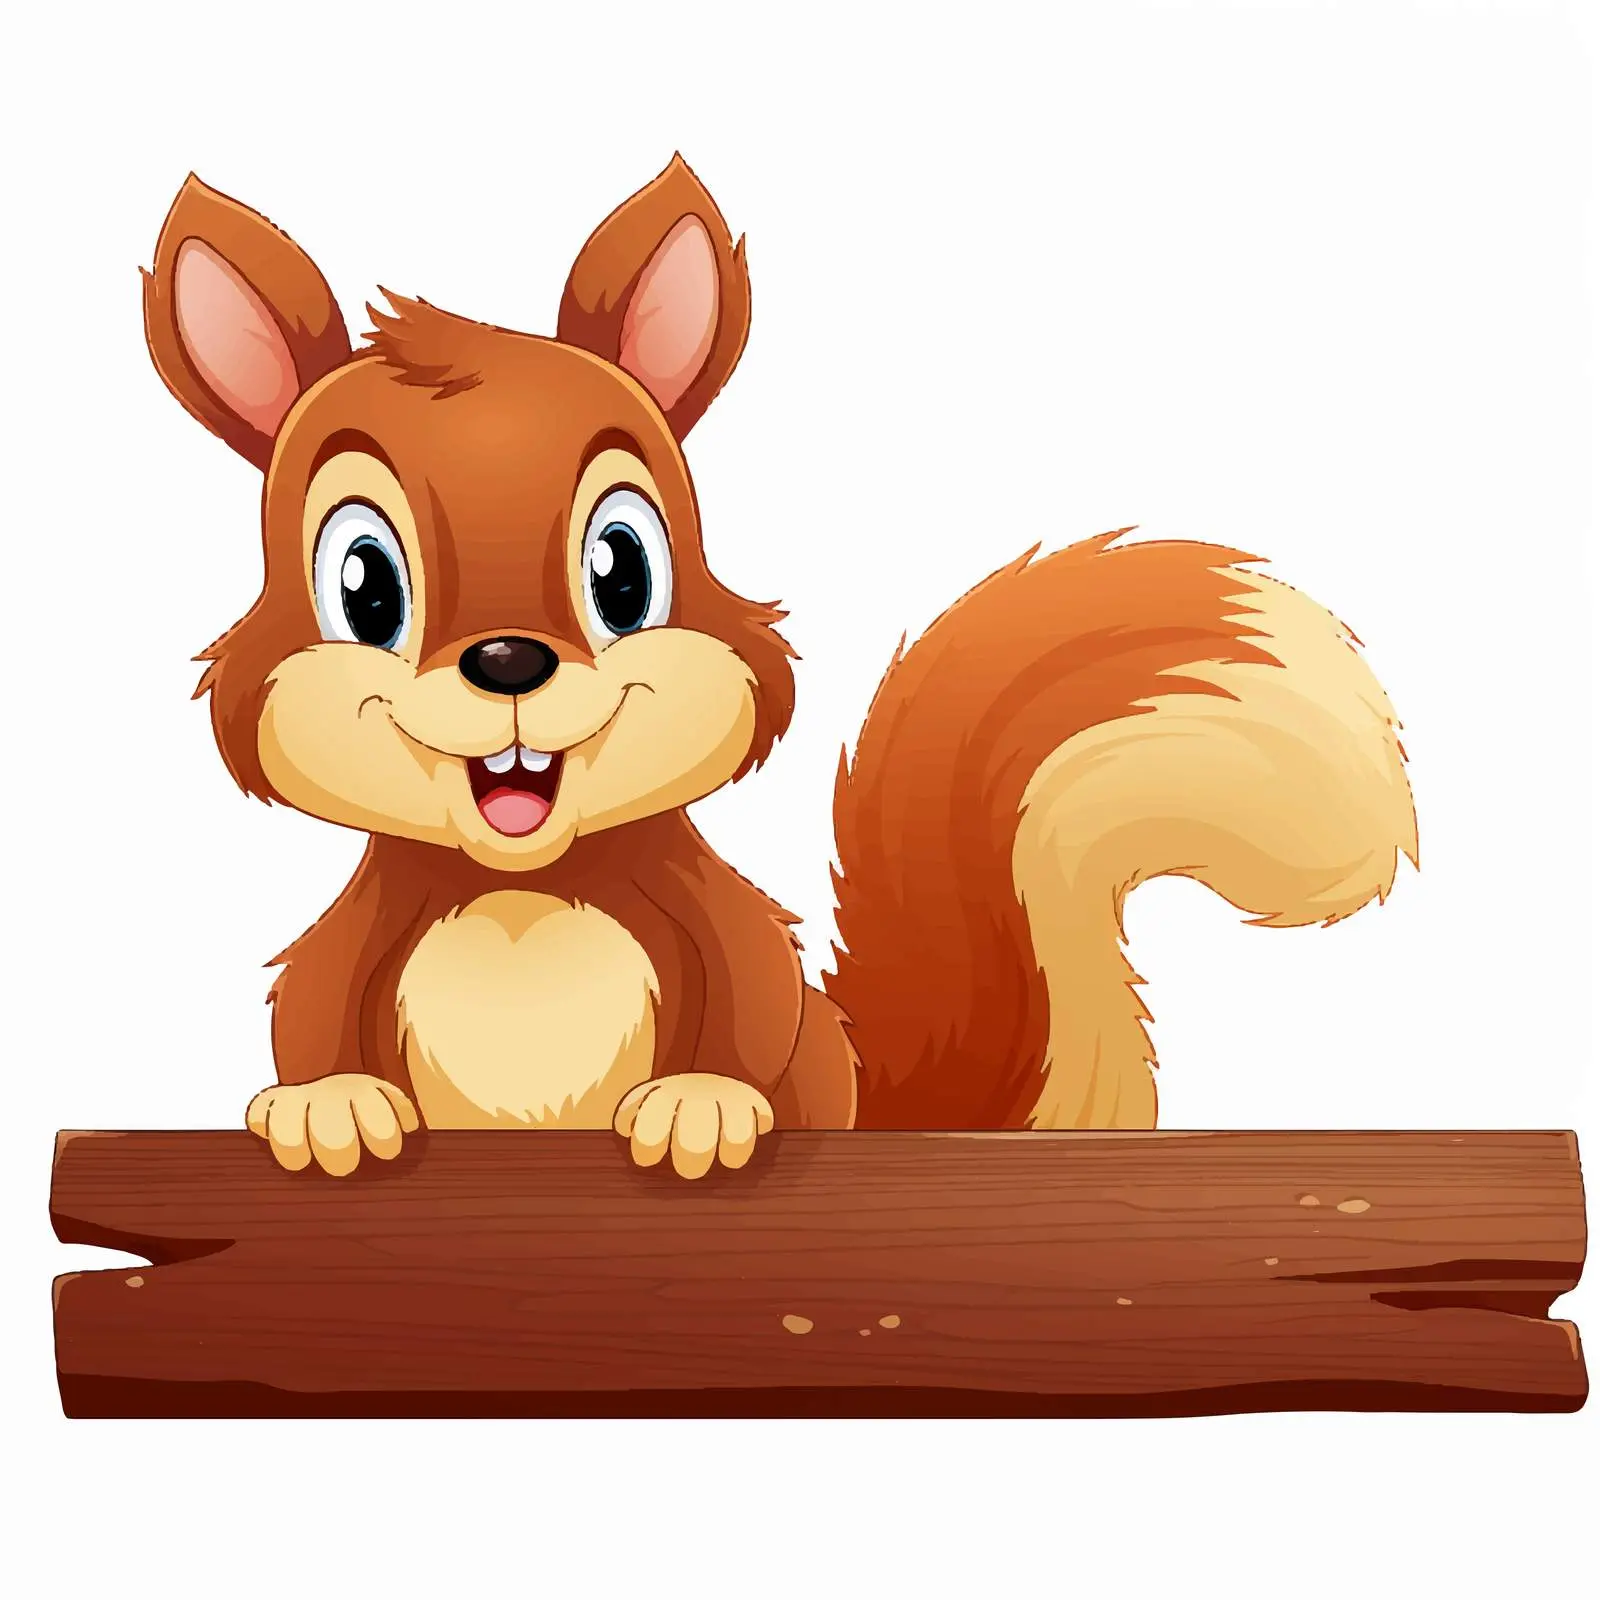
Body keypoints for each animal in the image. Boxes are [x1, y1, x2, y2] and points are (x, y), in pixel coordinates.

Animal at [142, 155, 1418, 1180]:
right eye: (364, 585)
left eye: (622, 567)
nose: (509, 660)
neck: (518, 890)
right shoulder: (365, 932)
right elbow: (311, 1003)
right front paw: (324, 1105)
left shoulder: (711, 924)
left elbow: (755, 999)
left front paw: (703, 1107)